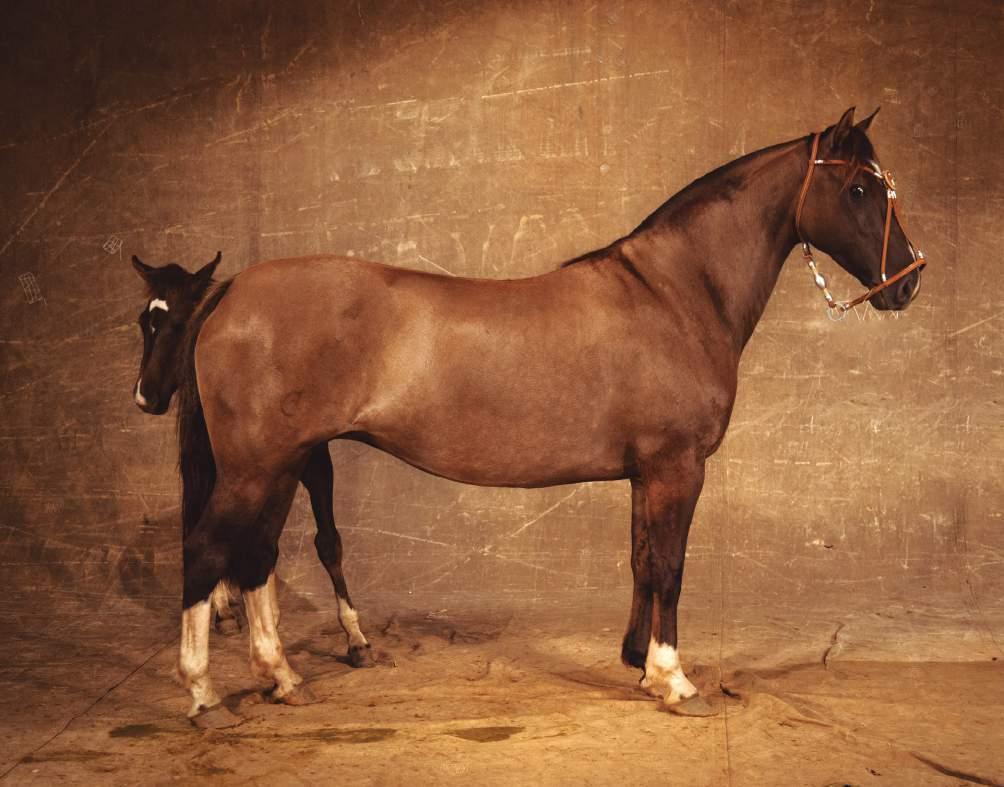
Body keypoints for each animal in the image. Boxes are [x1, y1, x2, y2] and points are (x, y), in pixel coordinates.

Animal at [133, 105, 923, 726]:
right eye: (858, 187)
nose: (908, 283)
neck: (672, 295)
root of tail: (231, 294)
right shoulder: (677, 467)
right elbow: (670, 567)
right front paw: (674, 680)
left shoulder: (647, 475)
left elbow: (642, 560)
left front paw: (639, 664)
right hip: (257, 466)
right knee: (208, 553)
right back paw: (203, 696)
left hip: (284, 464)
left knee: (255, 558)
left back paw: (282, 678)